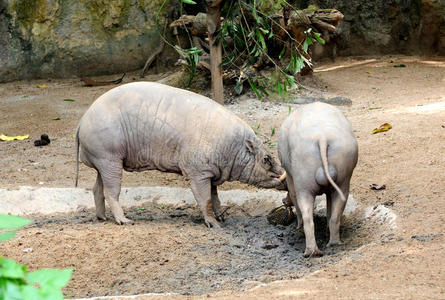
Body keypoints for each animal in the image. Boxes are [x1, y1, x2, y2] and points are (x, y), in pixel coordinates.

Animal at [75, 82, 284, 227]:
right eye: (266, 160)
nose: (285, 179)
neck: (233, 147)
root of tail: (81, 123)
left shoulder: (212, 172)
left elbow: (215, 197)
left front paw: (222, 217)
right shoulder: (197, 172)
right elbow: (205, 199)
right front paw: (214, 224)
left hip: (102, 161)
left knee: (97, 188)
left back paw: (102, 217)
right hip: (108, 157)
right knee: (111, 191)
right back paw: (124, 221)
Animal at [278, 102, 358, 256]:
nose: (284, 201)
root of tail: (322, 137)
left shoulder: (291, 178)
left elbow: (294, 195)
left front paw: (297, 227)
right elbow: (329, 207)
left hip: (303, 179)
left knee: (307, 216)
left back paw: (311, 252)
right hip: (343, 175)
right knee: (336, 212)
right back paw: (334, 243)